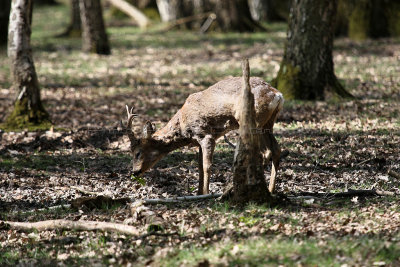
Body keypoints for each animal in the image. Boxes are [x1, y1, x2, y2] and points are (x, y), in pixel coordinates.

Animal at [126, 75, 282, 195]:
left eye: (138, 153)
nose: (134, 172)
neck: (183, 126)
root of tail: (277, 95)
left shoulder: (205, 134)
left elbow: (207, 165)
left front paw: (206, 193)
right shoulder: (198, 141)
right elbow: (200, 167)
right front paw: (198, 193)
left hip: (255, 120)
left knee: (265, 152)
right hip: (268, 123)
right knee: (276, 149)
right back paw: (271, 190)